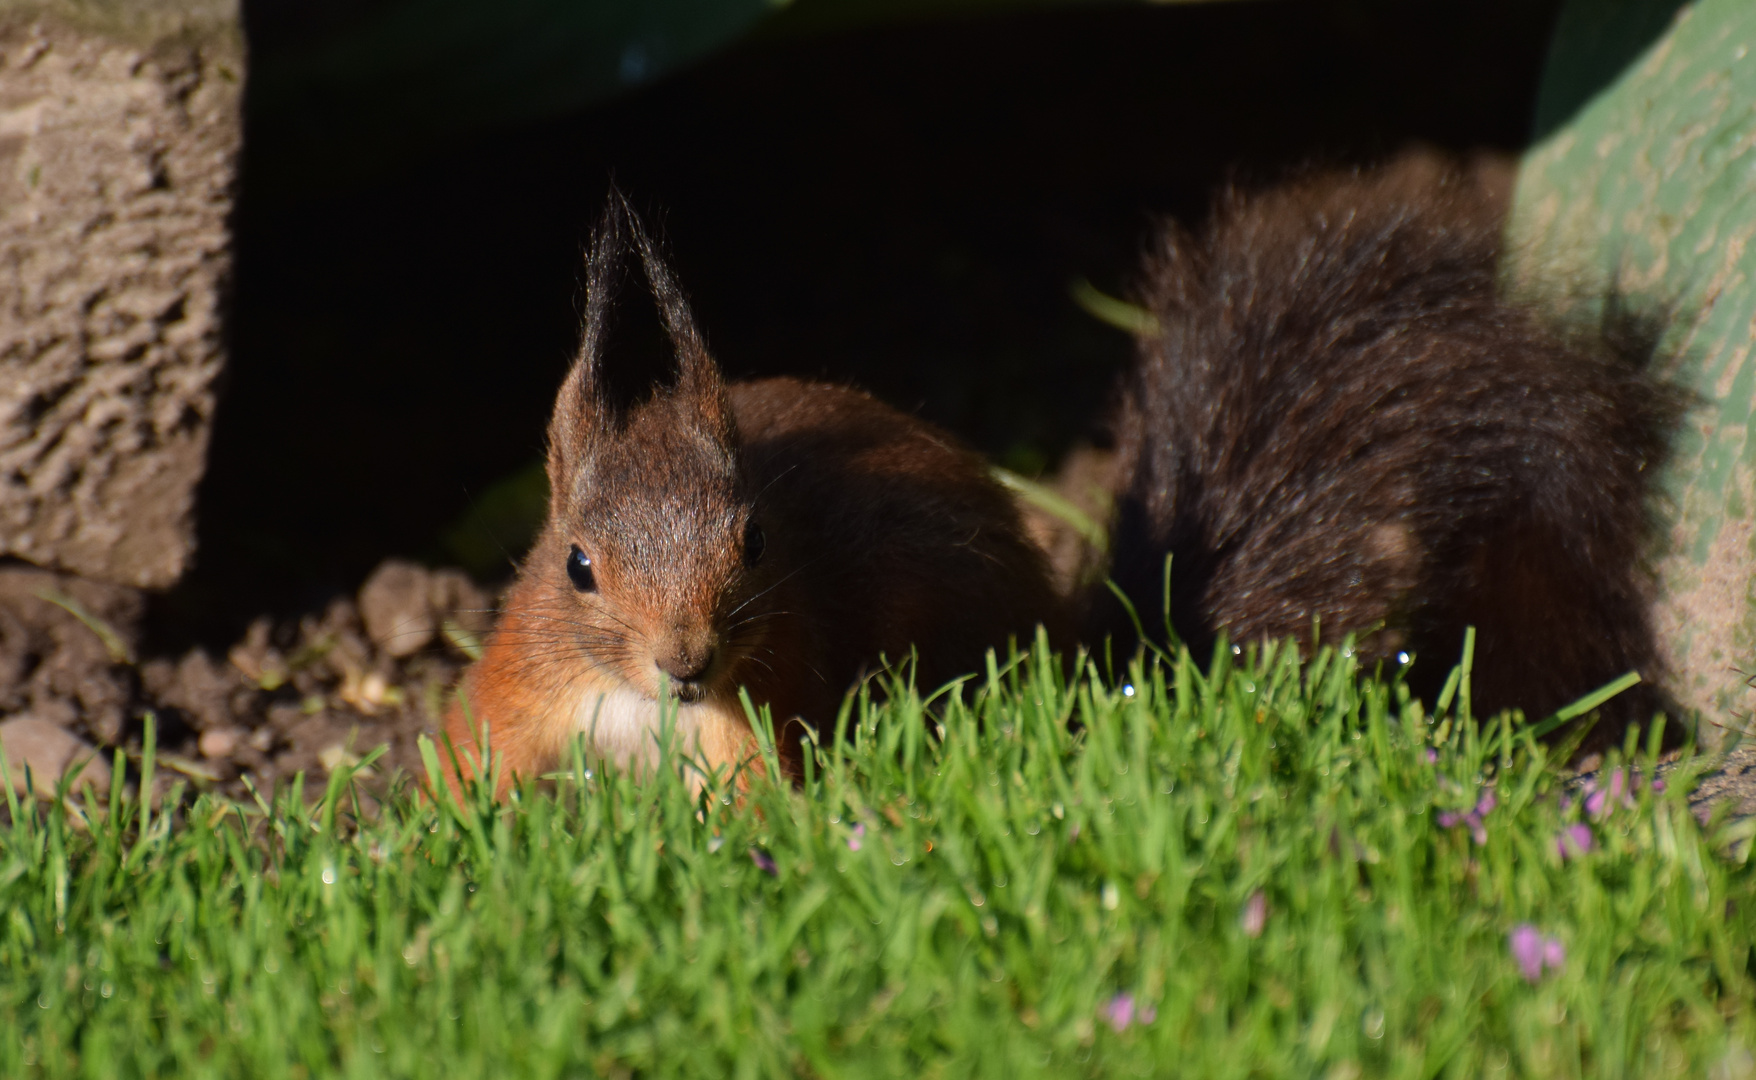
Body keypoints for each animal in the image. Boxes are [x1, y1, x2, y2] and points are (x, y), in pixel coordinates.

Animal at [446, 198, 1060, 797]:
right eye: (576, 565)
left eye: (756, 542)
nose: (686, 663)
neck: (638, 700)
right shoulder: (523, 676)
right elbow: (473, 753)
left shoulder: (762, 703)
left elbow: (753, 799)